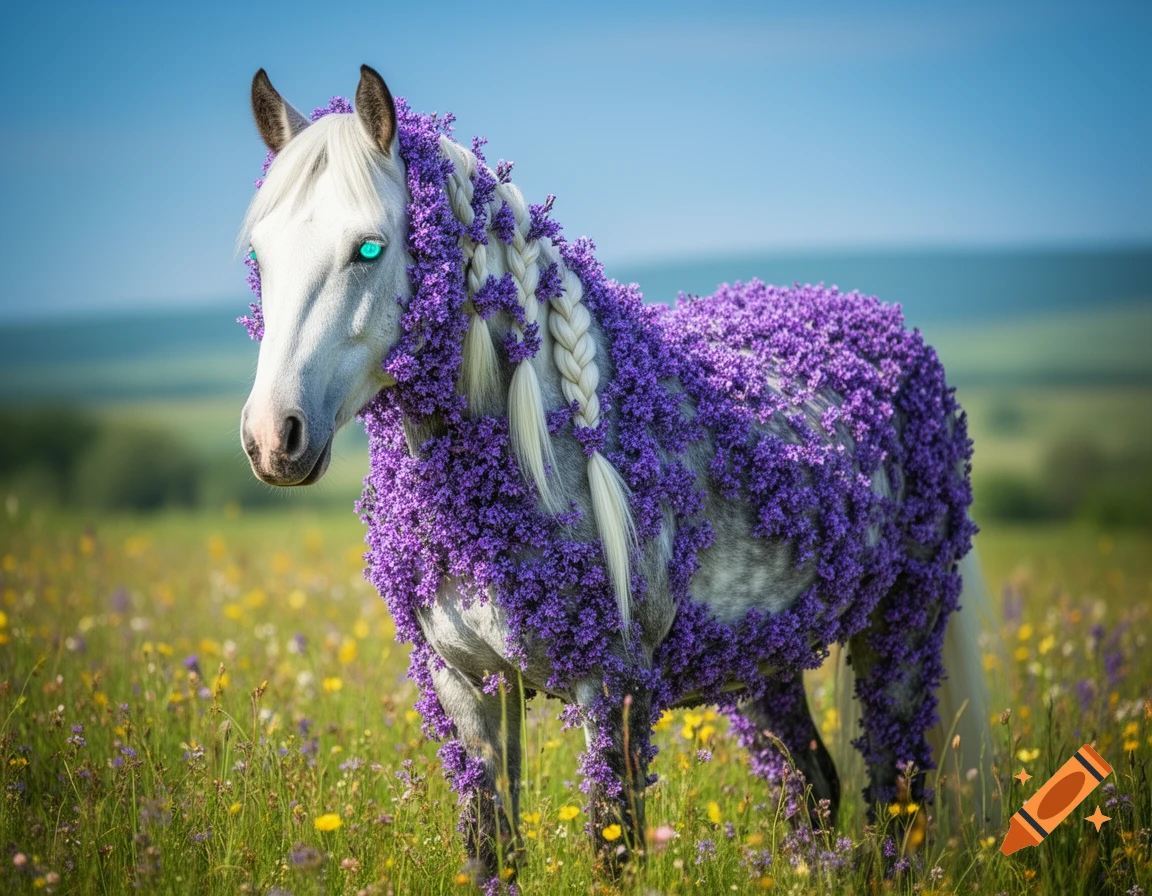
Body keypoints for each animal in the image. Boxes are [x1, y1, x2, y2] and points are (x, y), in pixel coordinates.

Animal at [237, 64, 996, 884]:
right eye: (260, 255)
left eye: (370, 248)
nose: (272, 437)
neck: (536, 455)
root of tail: (891, 333)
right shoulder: (467, 688)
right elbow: (492, 851)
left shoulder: (614, 692)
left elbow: (613, 850)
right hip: (764, 660)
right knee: (814, 789)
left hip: (904, 630)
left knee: (897, 800)